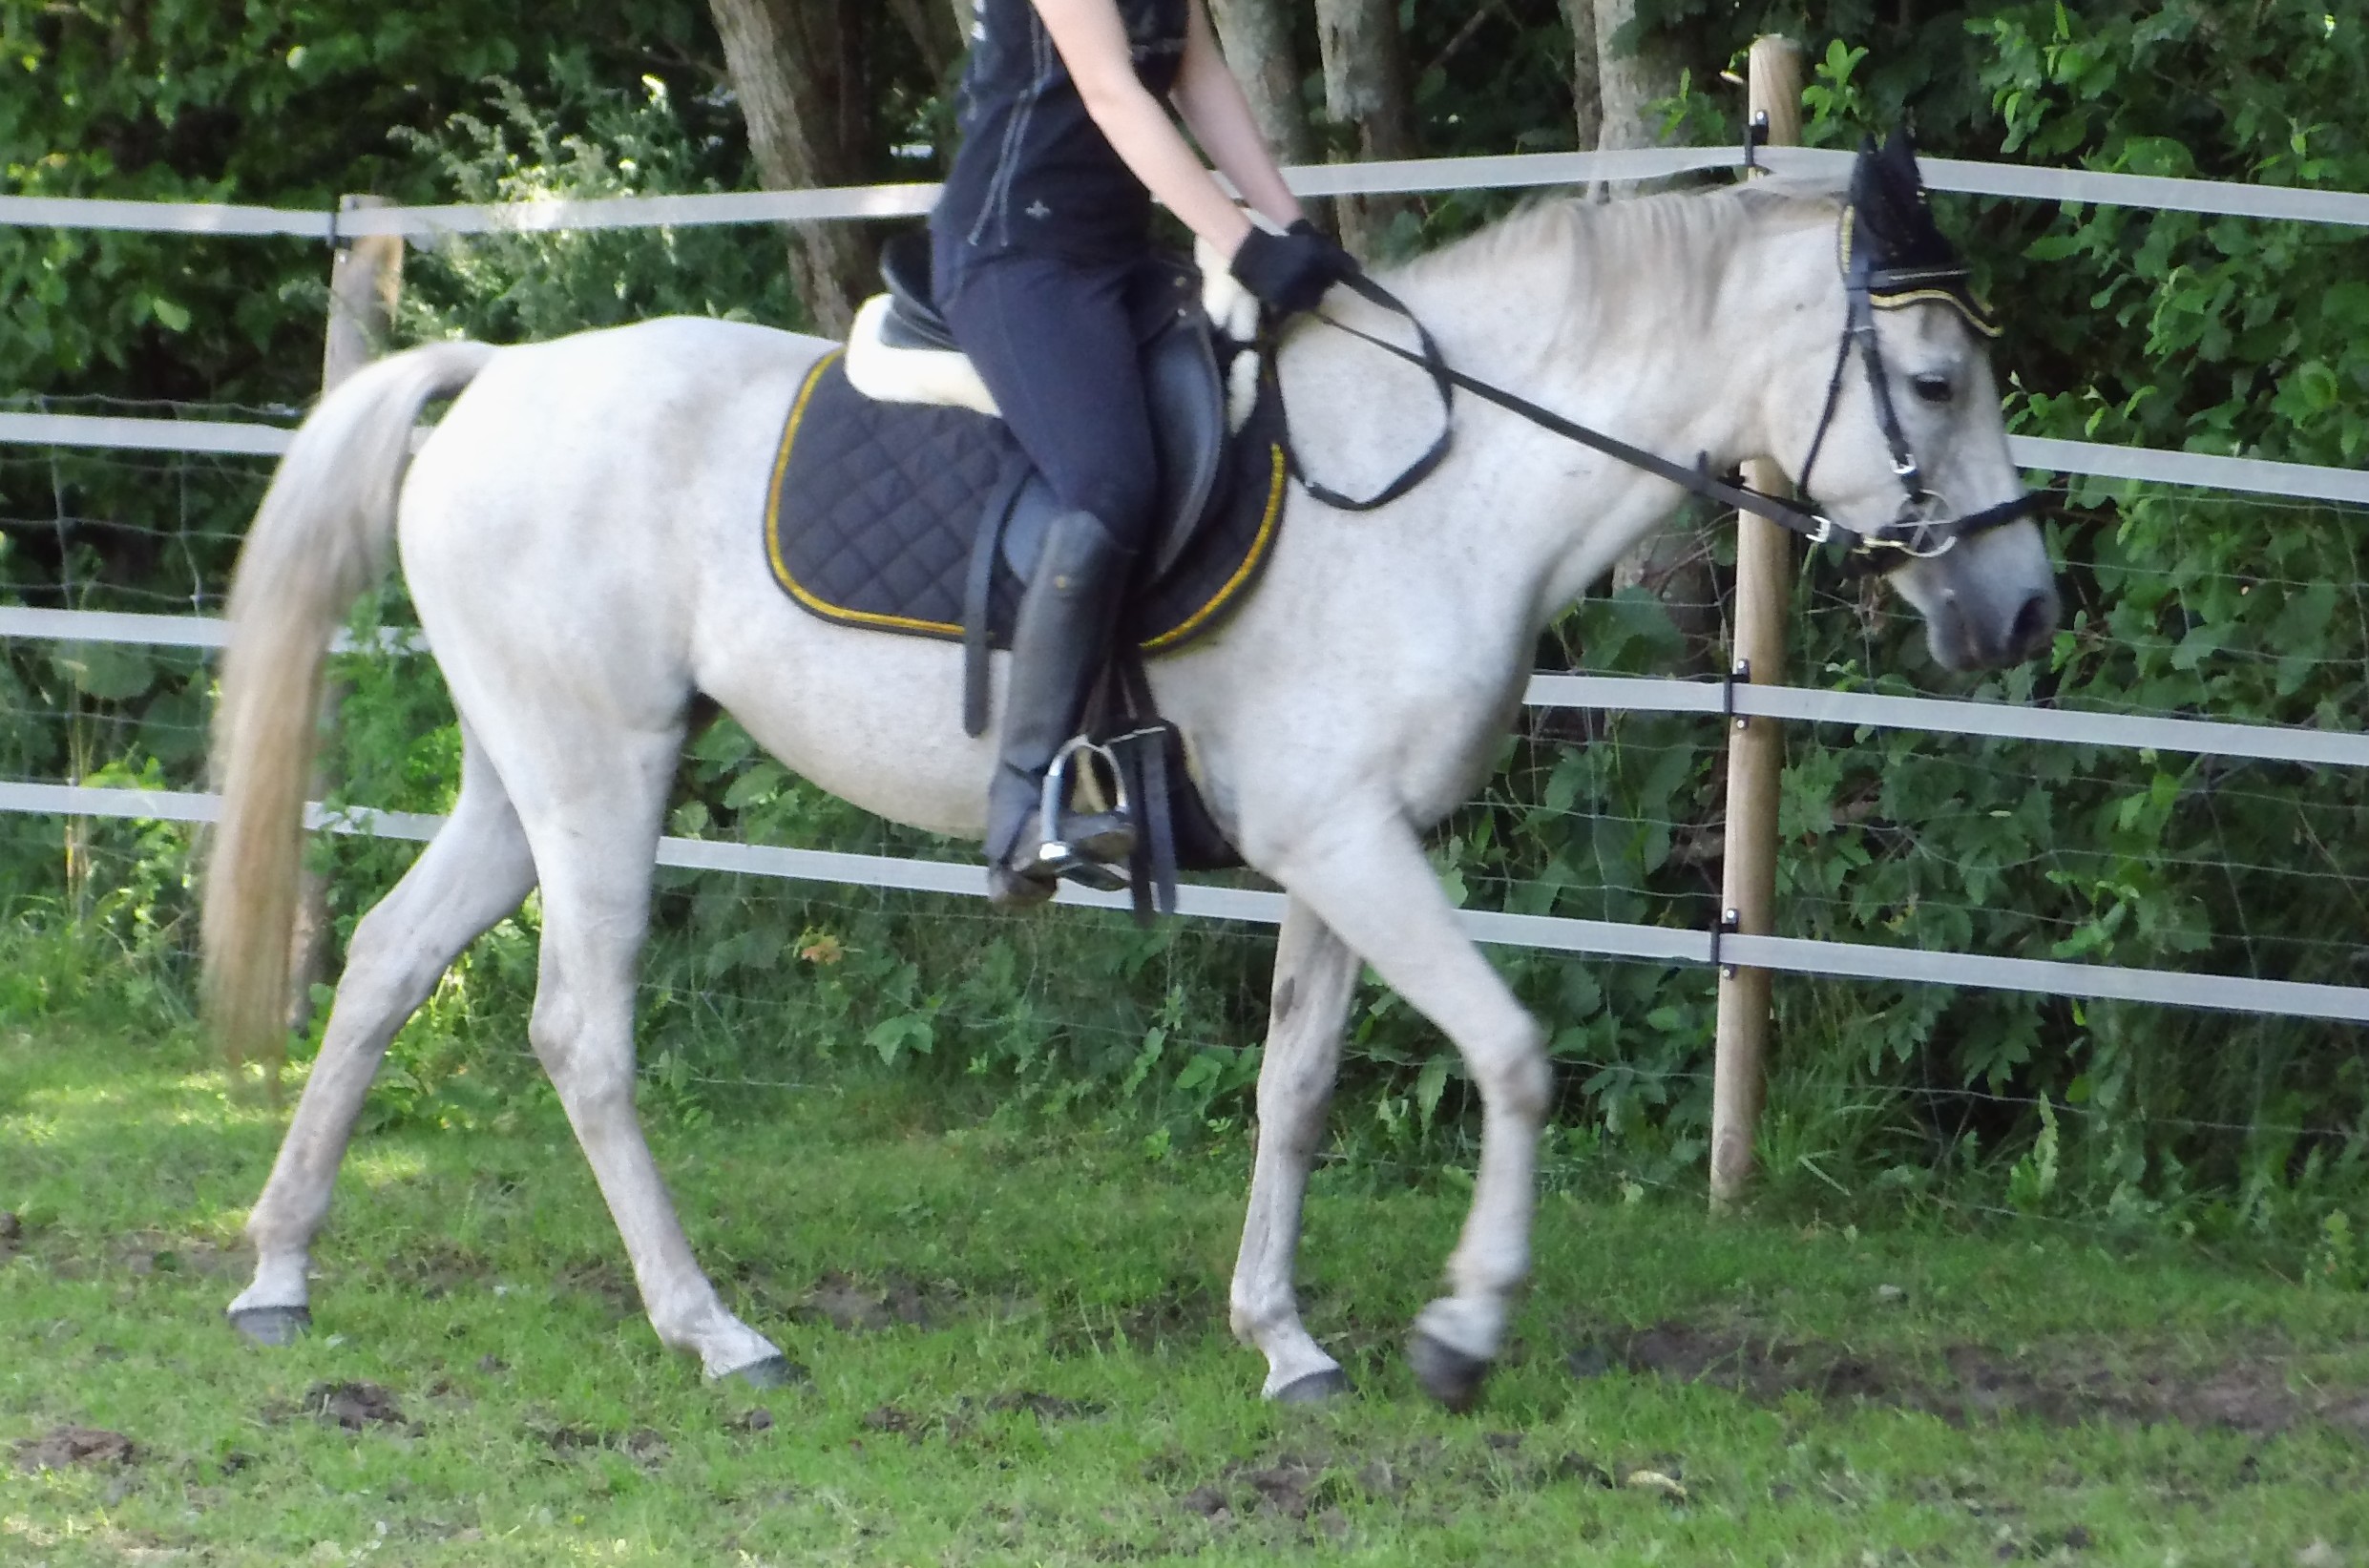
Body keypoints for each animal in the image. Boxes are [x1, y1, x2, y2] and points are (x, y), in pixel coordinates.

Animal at [203, 155, 2057, 1412]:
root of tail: (500, 375)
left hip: (522, 775)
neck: (1435, 486)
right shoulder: (1346, 839)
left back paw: (280, 1270)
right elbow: (1515, 1053)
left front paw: (1286, 1340)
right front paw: (1460, 1330)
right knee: (580, 1033)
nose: (2024, 608)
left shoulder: (1340, 851)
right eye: (1935, 382)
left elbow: (1295, 1092)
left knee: (384, 964)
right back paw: (717, 1330)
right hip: (601, 773)